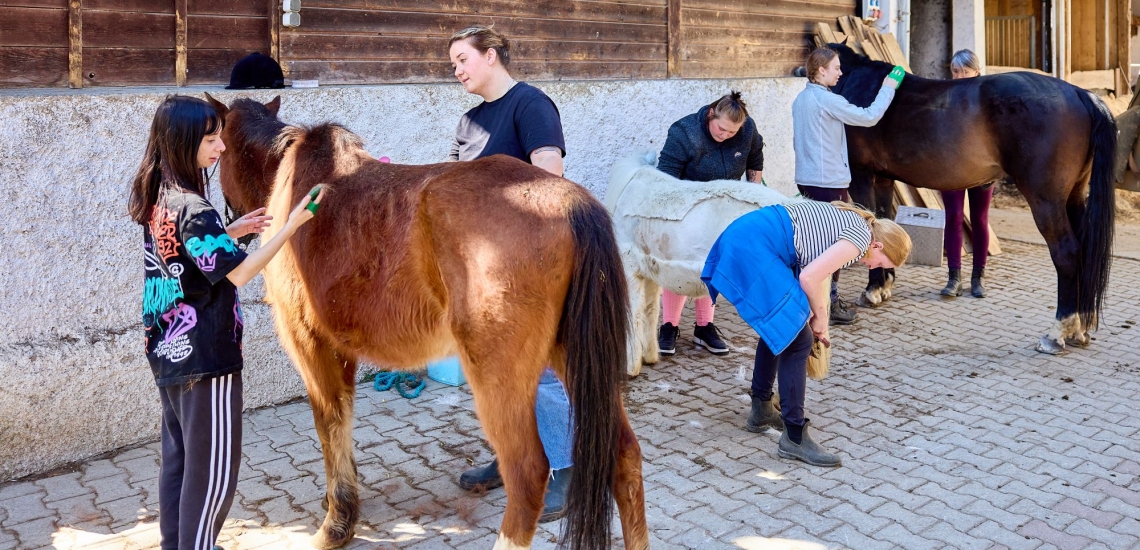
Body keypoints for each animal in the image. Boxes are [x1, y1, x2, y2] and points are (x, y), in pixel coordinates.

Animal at [203, 94, 648, 550]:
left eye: (221, 151)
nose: (234, 227)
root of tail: (569, 202)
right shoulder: (341, 349)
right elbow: (343, 420)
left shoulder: (310, 343)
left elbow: (329, 424)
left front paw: (337, 521)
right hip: (572, 356)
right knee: (624, 454)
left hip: (500, 375)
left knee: (527, 472)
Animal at [605, 151, 803, 376]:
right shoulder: (649, 273)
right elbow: (650, 311)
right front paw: (649, 358)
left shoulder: (631, 270)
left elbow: (635, 316)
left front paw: (631, 368)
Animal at [827, 44, 1116, 355]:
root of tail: (1081, 94)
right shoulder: (883, 179)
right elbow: (884, 226)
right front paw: (883, 286)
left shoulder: (861, 175)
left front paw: (872, 291)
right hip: (1074, 196)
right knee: (1083, 250)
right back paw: (1079, 329)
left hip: (1047, 201)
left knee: (1067, 253)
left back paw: (1057, 332)